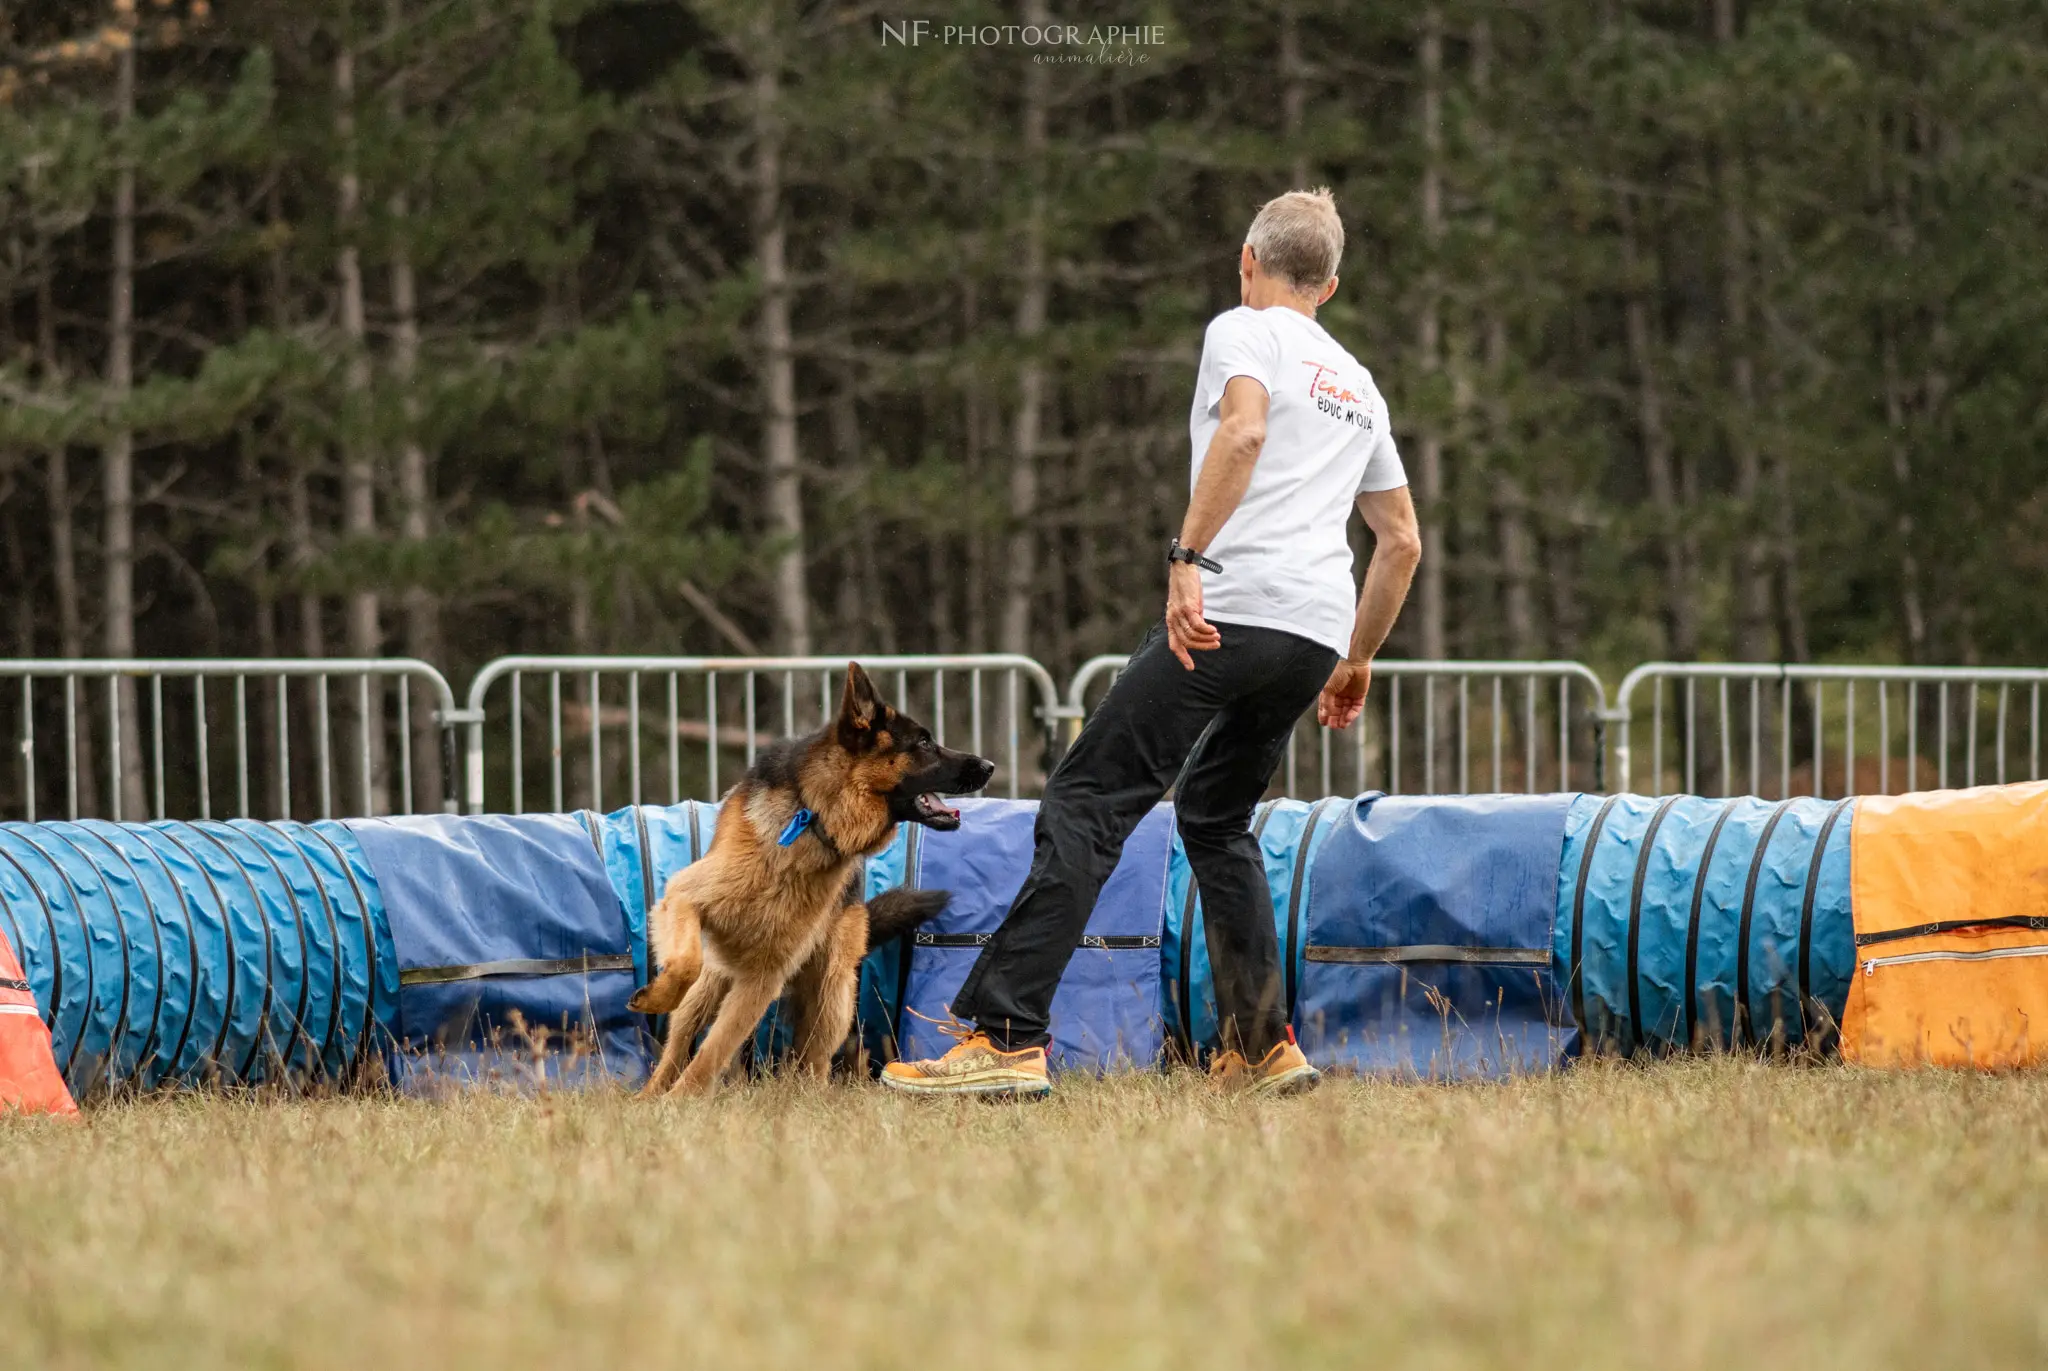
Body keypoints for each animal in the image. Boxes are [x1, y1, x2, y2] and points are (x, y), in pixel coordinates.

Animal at [630, 655, 999, 1098]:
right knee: (680, 1039)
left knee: (815, 1058)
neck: (815, 818)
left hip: (834, 992)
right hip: (711, 983)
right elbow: (685, 966)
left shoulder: (763, 977)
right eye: (924, 743)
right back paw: (650, 1093)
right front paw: (670, 1078)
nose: (990, 766)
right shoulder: (685, 896)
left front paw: (685, 1098)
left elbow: (715, 1050)